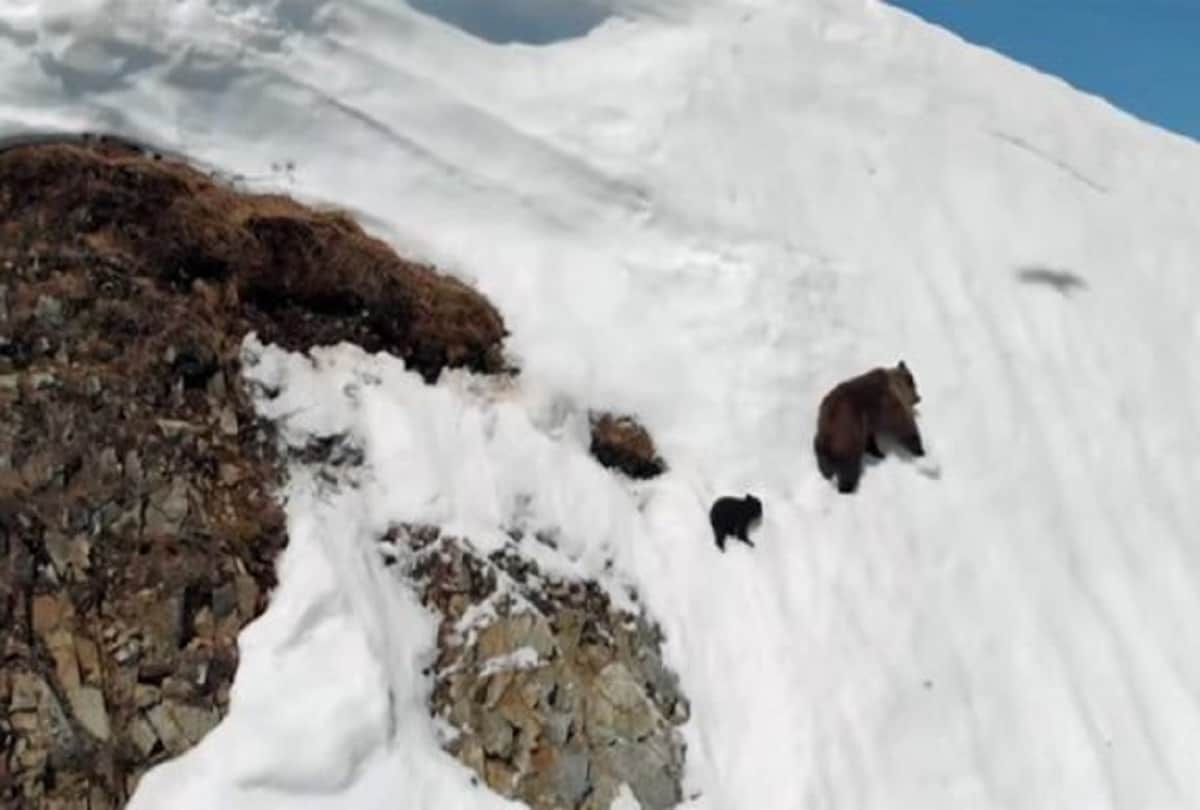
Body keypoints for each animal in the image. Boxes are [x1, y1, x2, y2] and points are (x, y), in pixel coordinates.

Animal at [813, 360, 925, 494]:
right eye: (914, 386)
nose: (918, 398)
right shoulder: (889, 408)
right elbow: (905, 427)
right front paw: (920, 451)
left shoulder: (868, 422)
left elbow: (870, 438)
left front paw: (878, 452)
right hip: (847, 436)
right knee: (849, 468)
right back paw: (847, 488)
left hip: (823, 437)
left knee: (824, 463)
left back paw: (826, 475)